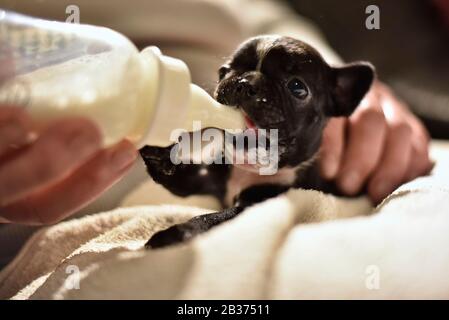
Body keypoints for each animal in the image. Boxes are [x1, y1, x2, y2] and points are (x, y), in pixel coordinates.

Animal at [140, 36, 374, 249]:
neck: (248, 169)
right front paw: (159, 151)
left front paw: (176, 233)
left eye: (297, 87)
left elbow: (212, 218)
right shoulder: (207, 177)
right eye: (223, 71)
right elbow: (180, 178)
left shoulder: (255, 205)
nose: (245, 83)